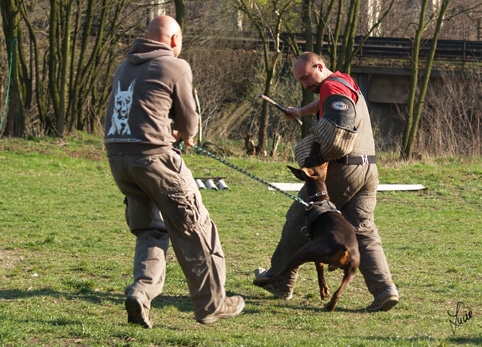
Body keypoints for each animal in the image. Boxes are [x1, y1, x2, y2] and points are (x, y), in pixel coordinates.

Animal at [254, 141, 360, 312]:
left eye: (311, 158)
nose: (316, 142)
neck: (319, 199)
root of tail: (343, 248)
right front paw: (324, 291)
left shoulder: (313, 247)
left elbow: (319, 269)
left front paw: (323, 290)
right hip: (352, 269)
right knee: (338, 293)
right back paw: (329, 306)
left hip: (304, 251)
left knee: (282, 273)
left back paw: (260, 282)